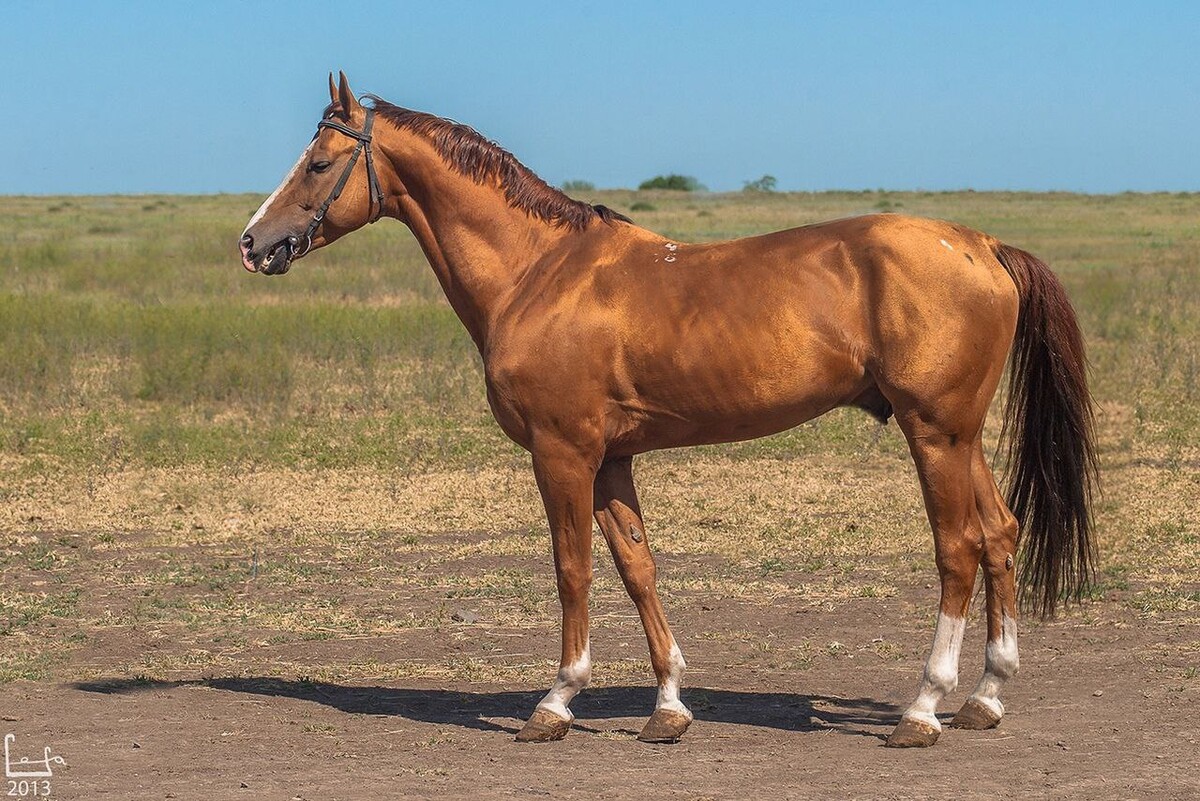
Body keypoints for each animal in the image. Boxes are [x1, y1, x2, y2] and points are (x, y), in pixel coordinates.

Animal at [238, 71, 1094, 748]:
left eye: (319, 162)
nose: (252, 242)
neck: (540, 272)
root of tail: (981, 245)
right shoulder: (613, 457)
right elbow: (638, 568)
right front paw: (669, 705)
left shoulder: (562, 453)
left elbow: (572, 569)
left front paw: (556, 701)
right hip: (962, 435)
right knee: (1000, 533)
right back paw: (985, 697)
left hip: (935, 434)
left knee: (959, 549)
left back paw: (922, 707)